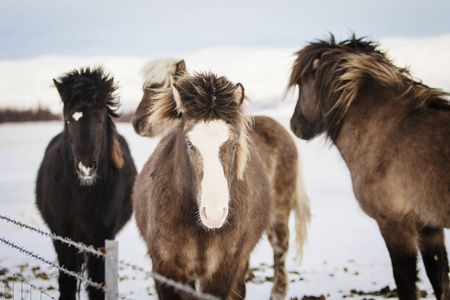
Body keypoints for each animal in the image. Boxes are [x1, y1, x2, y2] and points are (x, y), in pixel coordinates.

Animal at [36, 68, 137, 300]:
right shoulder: (62, 238)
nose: (86, 167)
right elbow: (67, 283)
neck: (80, 194)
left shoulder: (100, 241)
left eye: (99, 119)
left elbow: (97, 285)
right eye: (68, 120)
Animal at [132, 71, 312, 300]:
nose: (214, 214)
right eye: (189, 144)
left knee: (280, 249)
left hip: (277, 216)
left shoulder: (223, 272)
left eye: (234, 145)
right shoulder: (167, 271)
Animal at [288, 35, 450, 300]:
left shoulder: (394, 223)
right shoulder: (429, 226)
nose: (295, 125)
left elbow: (405, 279)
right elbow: (439, 278)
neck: (388, 130)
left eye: (303, 84)